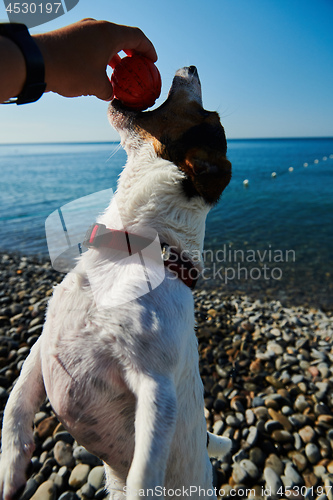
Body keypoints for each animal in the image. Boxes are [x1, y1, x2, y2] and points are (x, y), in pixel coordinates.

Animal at [0, 66, 231, 500]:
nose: (192, 66)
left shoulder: (157, 388)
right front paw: (10, 467)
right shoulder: (42, 344)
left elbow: (144, 476)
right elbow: (15, 400)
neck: (132, 248)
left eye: (210, 116)